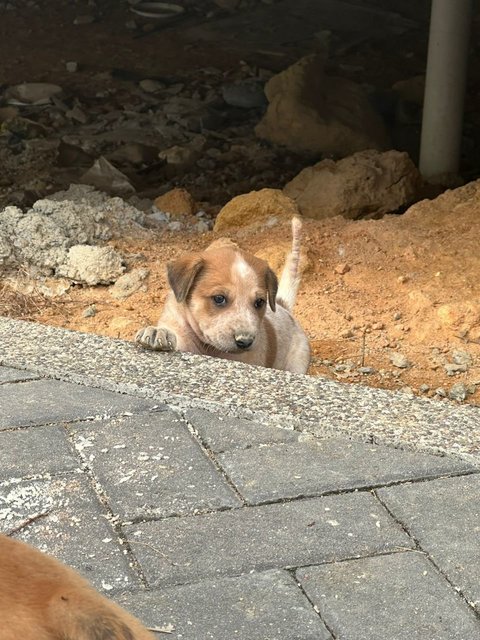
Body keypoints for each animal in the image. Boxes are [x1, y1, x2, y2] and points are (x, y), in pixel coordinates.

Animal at [135, 218, 312, 376]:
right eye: (219, 298)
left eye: (259, 302)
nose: (245, 342)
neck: (209, 349)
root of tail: (284, 307)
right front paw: (158, 332)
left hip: (297, 362)